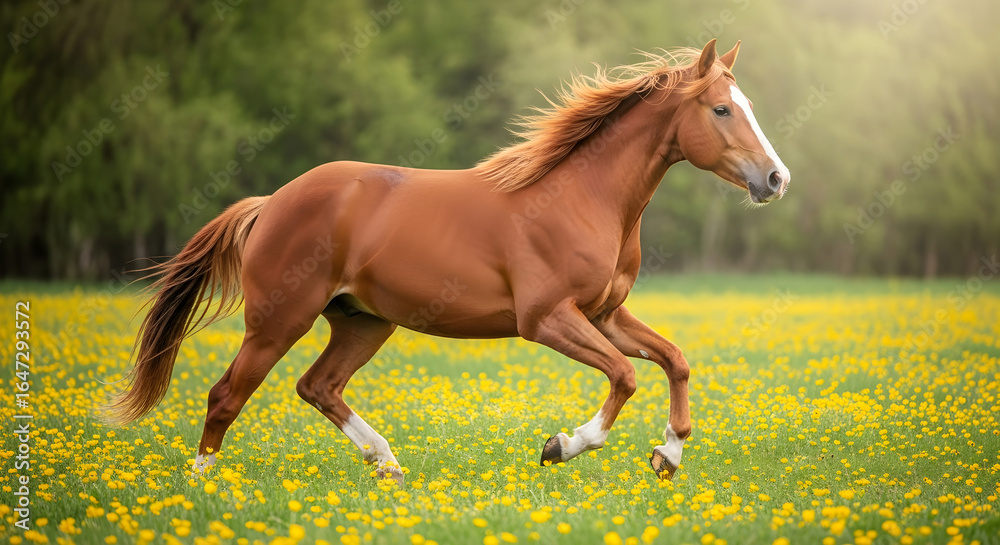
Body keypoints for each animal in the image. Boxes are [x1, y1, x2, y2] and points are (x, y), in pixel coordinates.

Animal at [105, 39, 789, 485]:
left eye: (751, 106)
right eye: (721, 109)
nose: (776, 179)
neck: (584, 197)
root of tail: (271, 202)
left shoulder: (604, 314)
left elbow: (675, 360)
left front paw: (667, 456)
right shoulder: (546, 319)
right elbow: (624, 376)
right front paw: (560, 445)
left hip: (362, 322)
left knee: (317, 386)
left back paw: (387, 463)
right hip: (277, 321)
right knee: (226, 395)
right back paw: (202, 487)